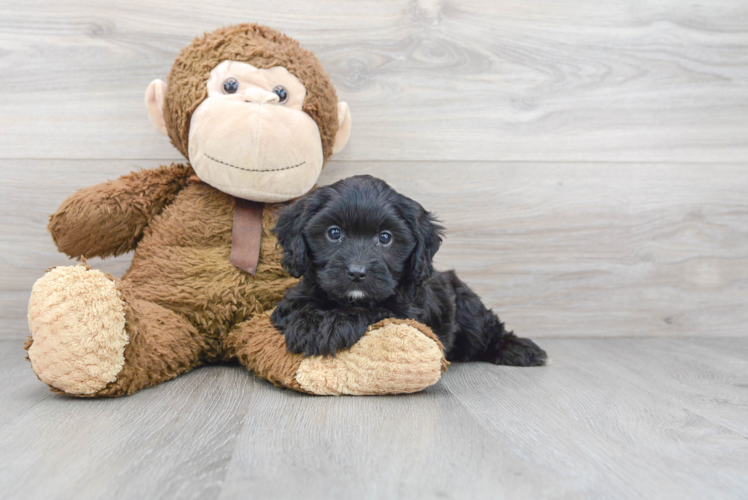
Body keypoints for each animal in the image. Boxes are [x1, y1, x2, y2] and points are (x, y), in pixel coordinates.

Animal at [272, 176, 548, 368]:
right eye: (334, 233)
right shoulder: (293, 300)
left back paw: (520, 349)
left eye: (385, 238)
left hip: (469, 311)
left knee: (488, 330)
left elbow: (374, 310)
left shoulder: (408, 313)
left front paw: (334, 323)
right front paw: (309, 324)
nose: (357, 273)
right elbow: (294, 308)